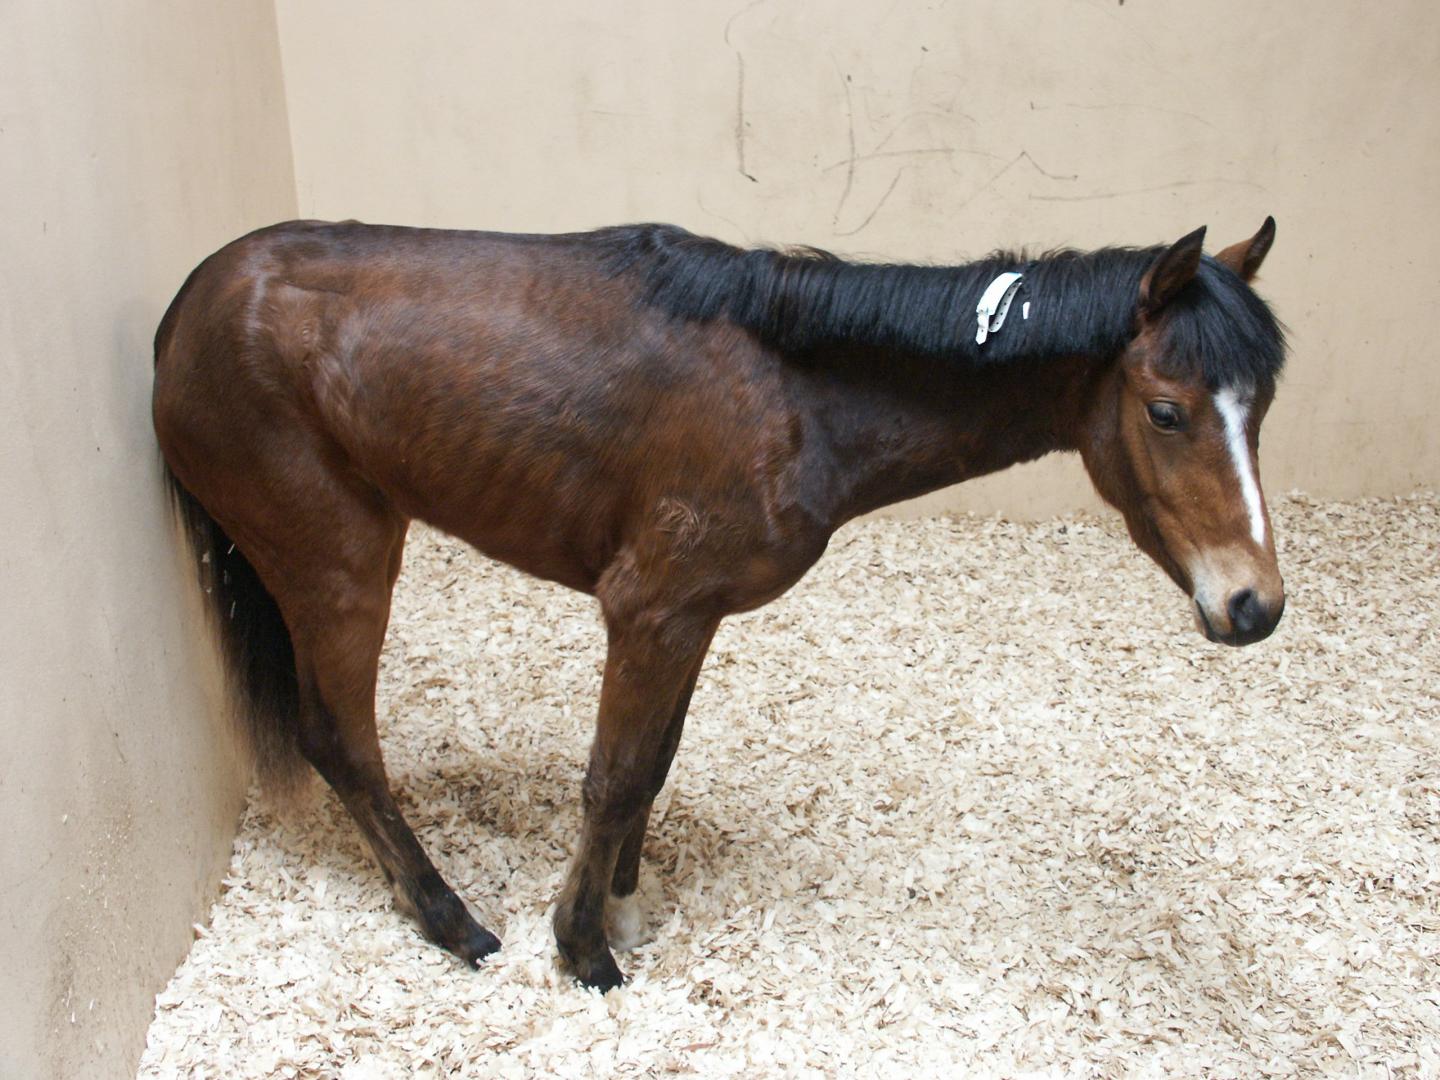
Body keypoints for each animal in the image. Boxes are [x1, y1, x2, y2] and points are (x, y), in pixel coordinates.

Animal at [152, 216, 1286, 991]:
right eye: (1167, 411)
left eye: (1262, 406)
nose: (1255, 604)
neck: (793, 391)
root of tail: (191, 304)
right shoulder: (648, 611)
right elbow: (610, 777)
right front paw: (583, 950)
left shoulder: (690, 618)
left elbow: (650, 769)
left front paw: (621, 902)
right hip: (340, 566)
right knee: (340, 742)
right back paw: (449, 919)